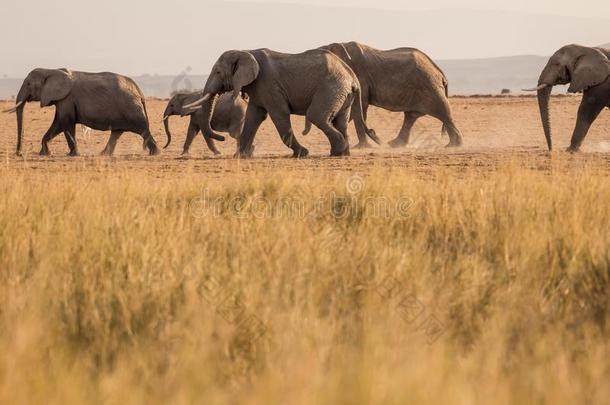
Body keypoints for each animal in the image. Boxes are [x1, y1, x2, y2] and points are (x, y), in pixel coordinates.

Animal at [2, 67, 159, 155]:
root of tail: (139, 91)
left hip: (130, 108)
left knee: (143, 130)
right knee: (117, 132)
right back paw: (104, 154)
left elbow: (66, 123)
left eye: (28, 84)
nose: (19, 153)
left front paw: (72, 154)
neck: (50, 70)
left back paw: (154, 153)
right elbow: (58, 124)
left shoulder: (67, 99)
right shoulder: (62, 100)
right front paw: (44, 153)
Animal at [183, 48, 378, 157]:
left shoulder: (269, 84)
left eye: (217, 72)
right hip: (341, 93)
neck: (246, 51)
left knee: (316, 116)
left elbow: (279, 116)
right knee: (340, 121)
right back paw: (343, 152)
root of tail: (351, 75)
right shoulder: (259, 88)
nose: (223, 137)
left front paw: (302, 154)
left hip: (331, 89)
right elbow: (254, 117)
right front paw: (241, 156)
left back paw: (337, 151)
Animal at [302, 41, 464, 148]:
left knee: (442, 112)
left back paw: (454, 146)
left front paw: (361, 147)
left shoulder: (360, 76)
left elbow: (359, 108)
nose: (374, 133)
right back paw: (395, 144)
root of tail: (440, 72)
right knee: (411, 116)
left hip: (429, 86)